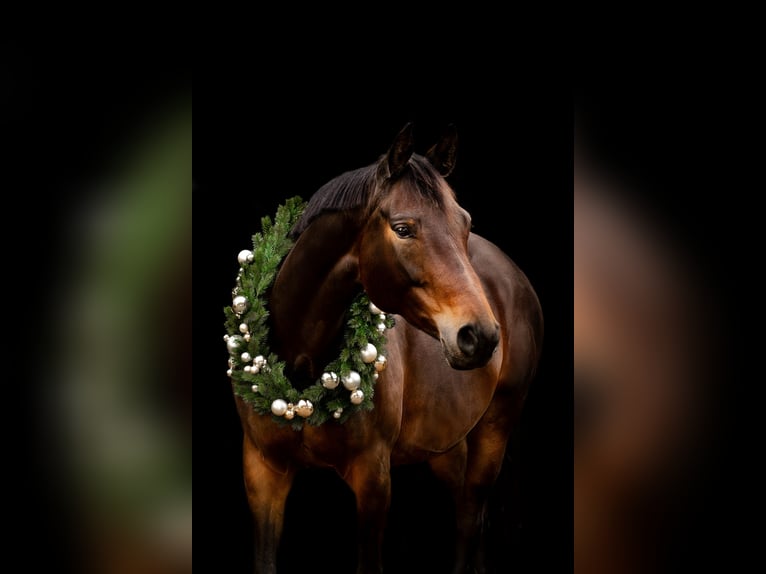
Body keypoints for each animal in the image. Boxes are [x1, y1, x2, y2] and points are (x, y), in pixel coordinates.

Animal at [237, 126, 544, 574]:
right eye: (402, 229)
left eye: (465, 222)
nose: (482, 336)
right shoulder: (263, 472)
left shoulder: (374, 479)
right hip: (447, 446)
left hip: (494, 430)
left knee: (470, 519)